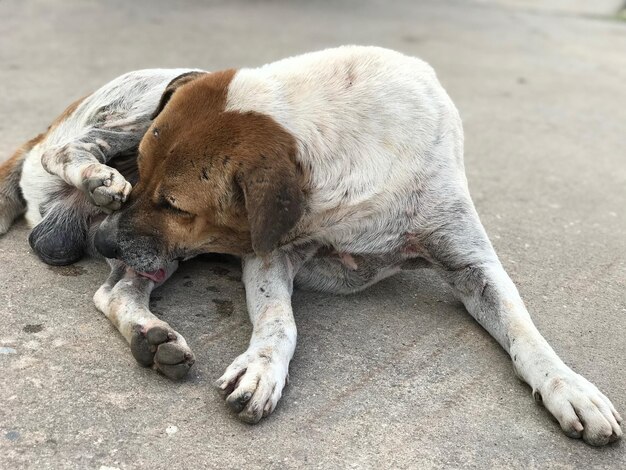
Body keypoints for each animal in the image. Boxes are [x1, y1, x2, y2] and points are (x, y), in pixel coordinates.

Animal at [0, 46, 620, 444]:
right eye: (143, 172)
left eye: (175, 205)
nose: (105, 239)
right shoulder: (268, 253)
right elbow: (280, 323)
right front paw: (262, 369)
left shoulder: (473, 264)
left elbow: (525, 332)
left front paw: (571, 388)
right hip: (134, 109)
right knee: (67, 153)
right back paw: (97, 179)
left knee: (114, 292)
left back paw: (148, 333)